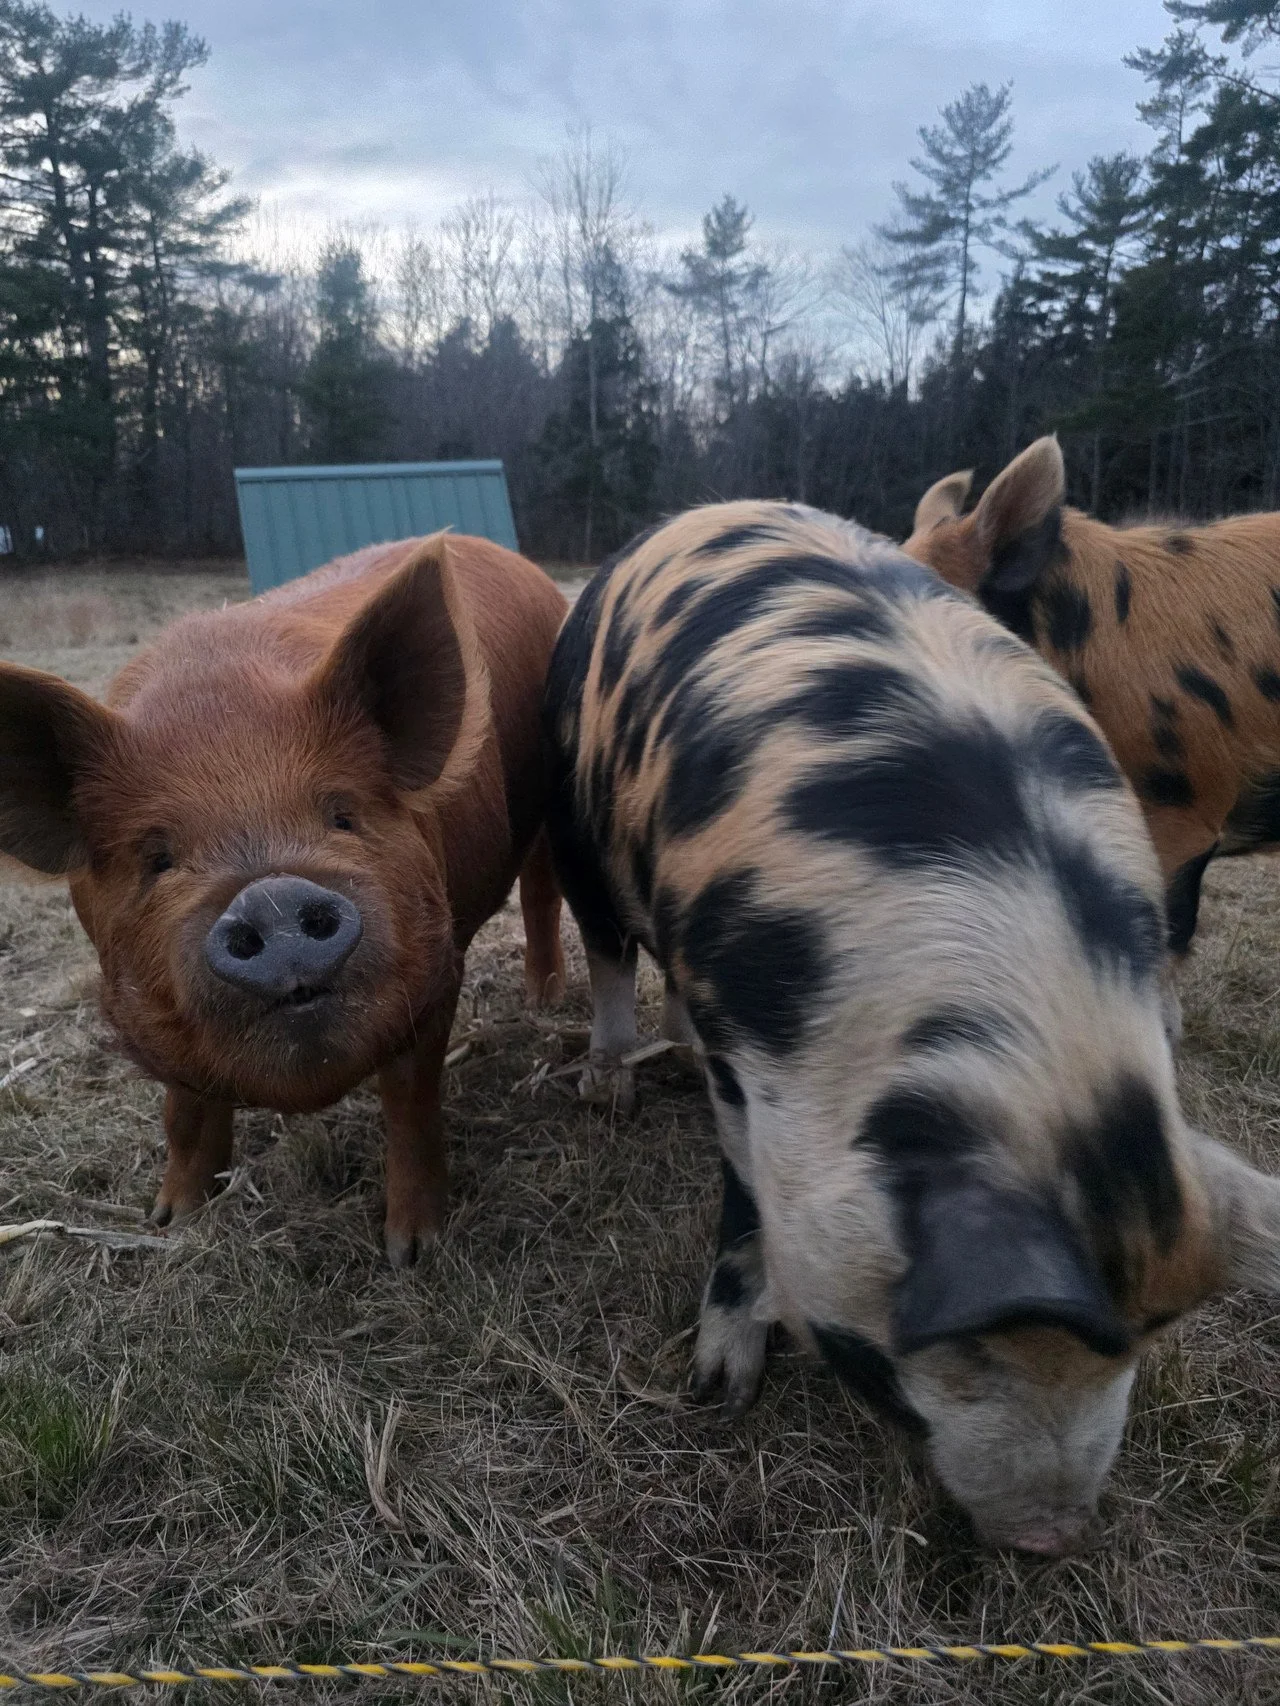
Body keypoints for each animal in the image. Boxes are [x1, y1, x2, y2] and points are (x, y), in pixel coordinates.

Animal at [0, 533, 567, 1265]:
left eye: (341, 816)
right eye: (157, 858)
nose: (271, 898)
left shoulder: (436, 970)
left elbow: (410, 1103)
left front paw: (412, 1253)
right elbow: (183, 1110)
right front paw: (170, 1219)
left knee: (542, 893)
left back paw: (546, 1001)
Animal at [542, 498, 1280, 1553]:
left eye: (1143, 1340)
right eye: (973, 1351)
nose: (1052, 1540)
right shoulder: (750, 1052)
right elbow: (745, 1199)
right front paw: (720, 1392)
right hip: (568, 810)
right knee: (607, 949)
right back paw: (614, 1084)